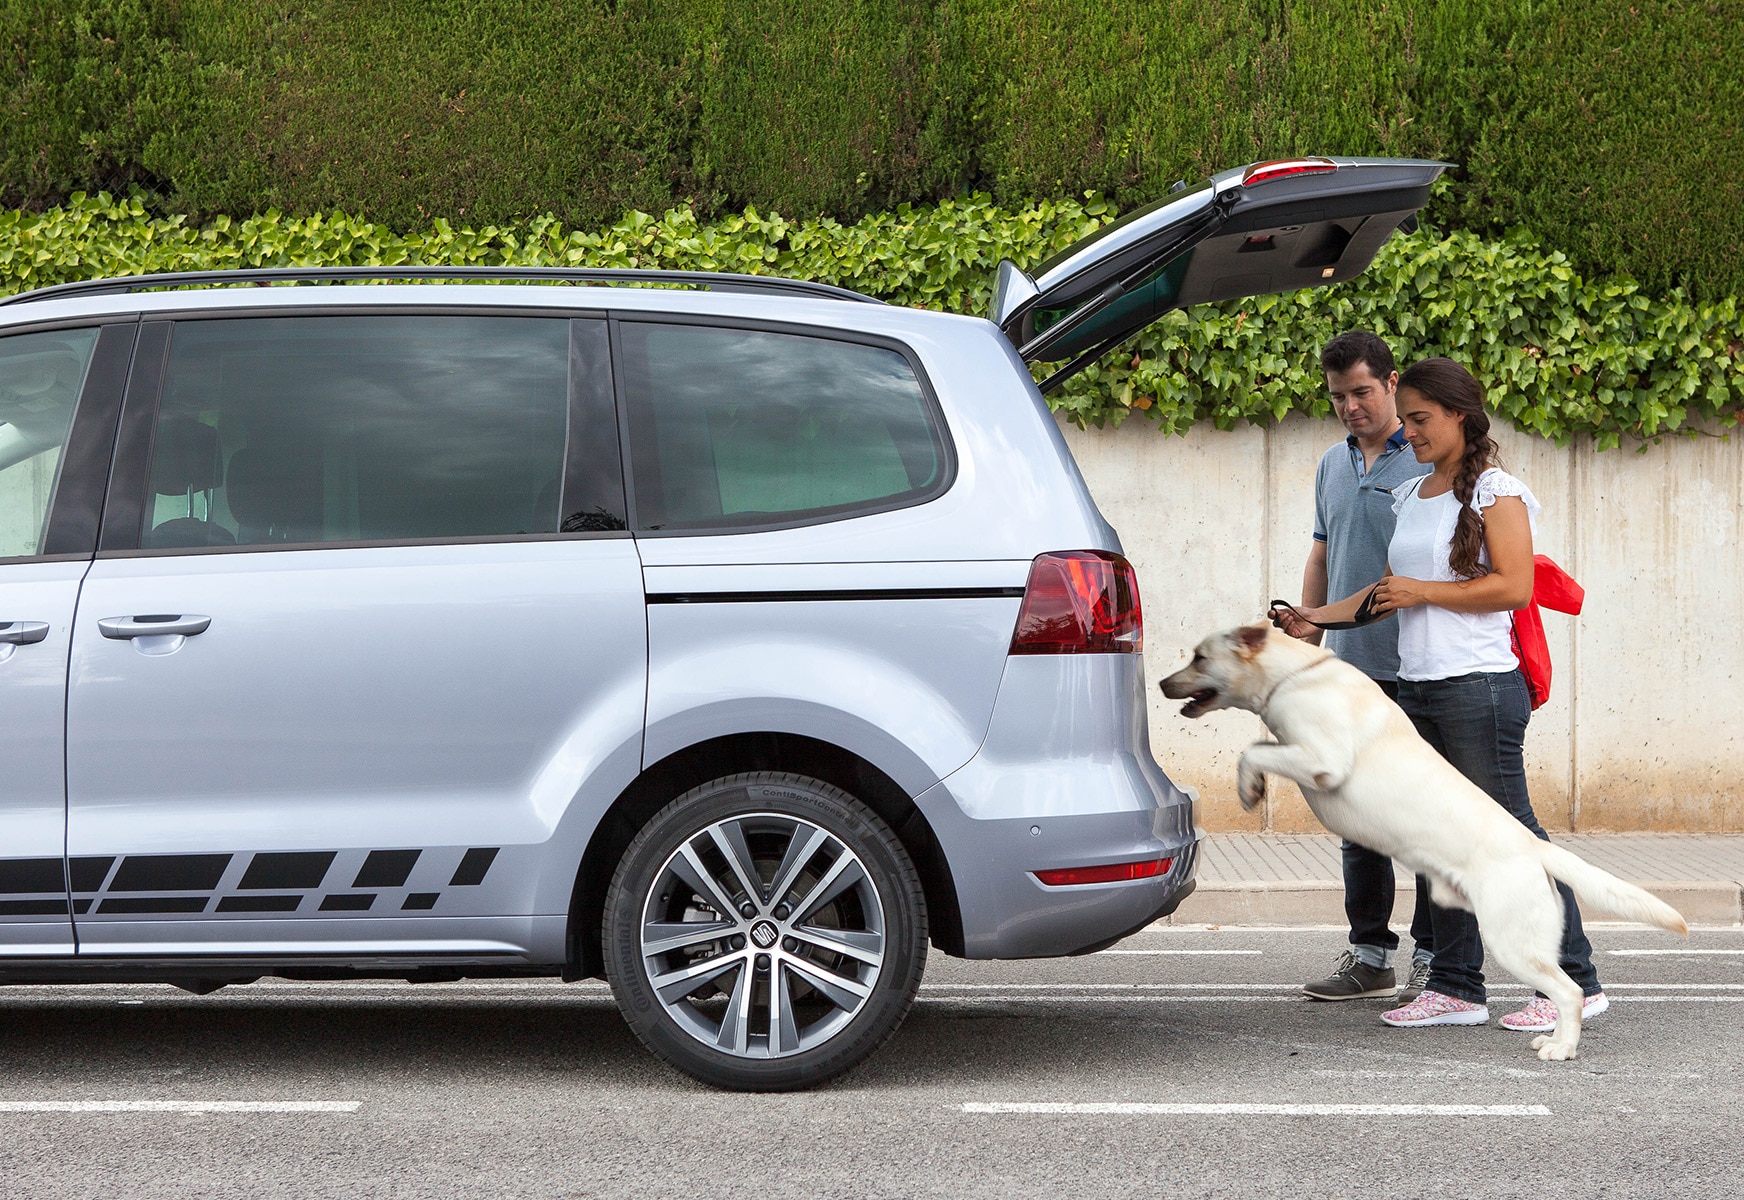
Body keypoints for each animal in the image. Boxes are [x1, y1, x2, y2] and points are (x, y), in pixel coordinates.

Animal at [1164, 617, 1681, 1060]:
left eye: (1200, 657)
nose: (1163, 684)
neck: (1293, 676)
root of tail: (1535, 847)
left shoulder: (1322, 761)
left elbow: (1253, 749)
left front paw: (1248, 787)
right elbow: (1260, 746)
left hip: (1513, 940)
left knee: (1569, 991)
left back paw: (1560, 1046)